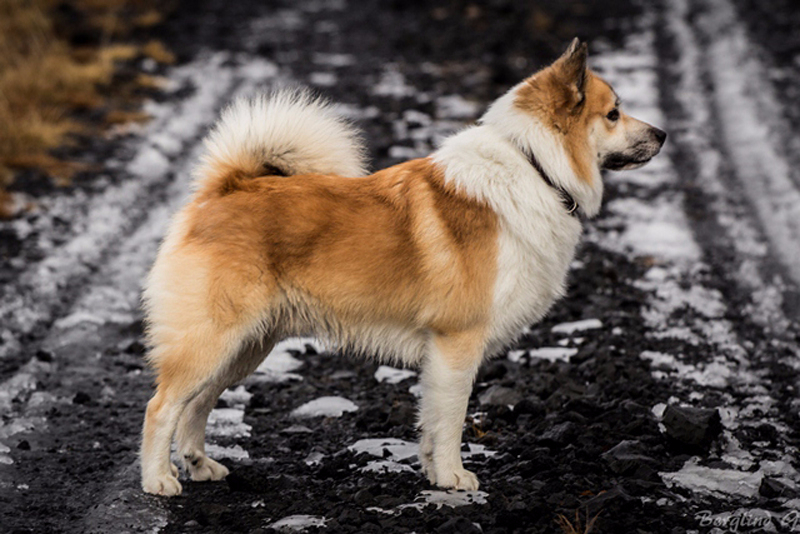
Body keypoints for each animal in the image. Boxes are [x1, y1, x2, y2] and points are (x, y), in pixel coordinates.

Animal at [141, 38, 664, 498]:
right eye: (613, 113)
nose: (662, 134)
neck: (536, 166)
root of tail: (226, 188)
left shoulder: (440, 354)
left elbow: (432, 422)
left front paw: (434, 473)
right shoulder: (457, 343)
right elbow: (452, 419)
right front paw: (454, 477)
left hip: (245, 346)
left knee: (197, 404)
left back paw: (200, 465)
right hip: (213, 339)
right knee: (161, 407)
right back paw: (159, 480)